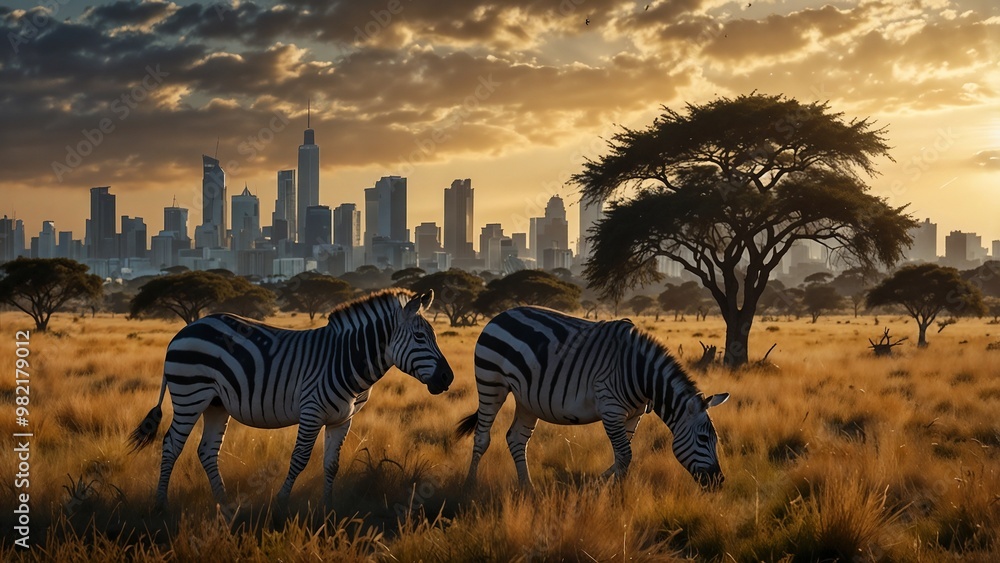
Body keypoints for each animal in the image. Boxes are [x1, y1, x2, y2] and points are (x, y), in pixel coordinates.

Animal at [128, 288, 454, 511]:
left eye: (435, 337)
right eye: (420, 338)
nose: (447, 378)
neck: (346, 358)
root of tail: (185, 329)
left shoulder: (342, 419)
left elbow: (331, 464)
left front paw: (327, 508)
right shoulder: (312, 411)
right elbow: (299, 459)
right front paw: (282, 503)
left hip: (216, 404)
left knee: (207, 450)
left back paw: (225, 504)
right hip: (190, 394)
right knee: (171, 445)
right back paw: (161, 505)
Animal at [456, 306, 729, 489]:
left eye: (716, 439)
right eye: (703, 438)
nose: (719, 481)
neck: (640, 374)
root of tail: (500, 316)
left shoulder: (634, 415)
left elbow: (623, 455)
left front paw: (603, 486)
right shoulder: (611, 409)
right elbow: (625, 455)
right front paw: (615, 494)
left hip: (526, 400)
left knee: (516, 438)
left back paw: (528, 489)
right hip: (491, 382)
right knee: (482, 437)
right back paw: (469, 486)